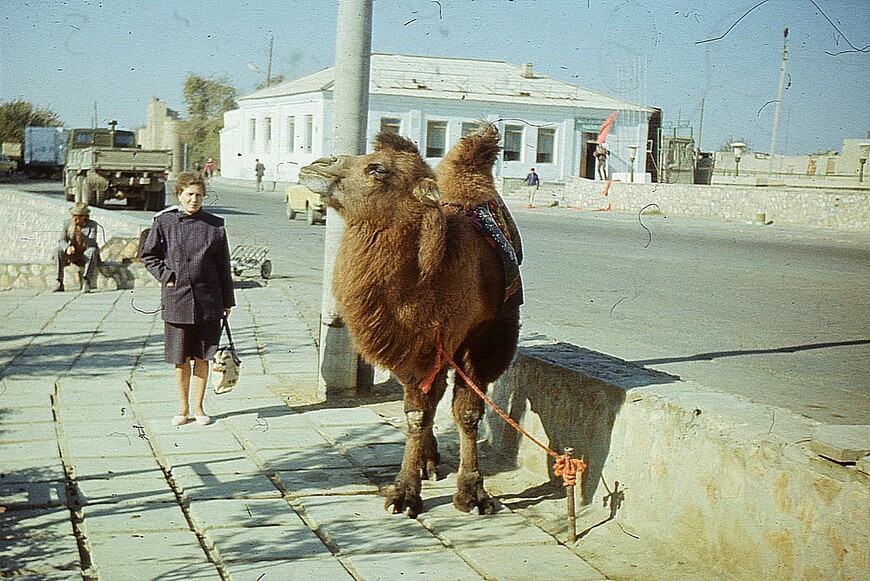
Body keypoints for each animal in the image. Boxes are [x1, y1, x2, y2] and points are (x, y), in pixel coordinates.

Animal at [300, 127, 520, 516]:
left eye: (377, 169)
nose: (318, 163)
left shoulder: (480, 339)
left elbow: (467, 412)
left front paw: (472, 493)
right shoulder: (416, 344)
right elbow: (417, 414)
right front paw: (405, 491)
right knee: (430, 399)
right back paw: (427, 461)